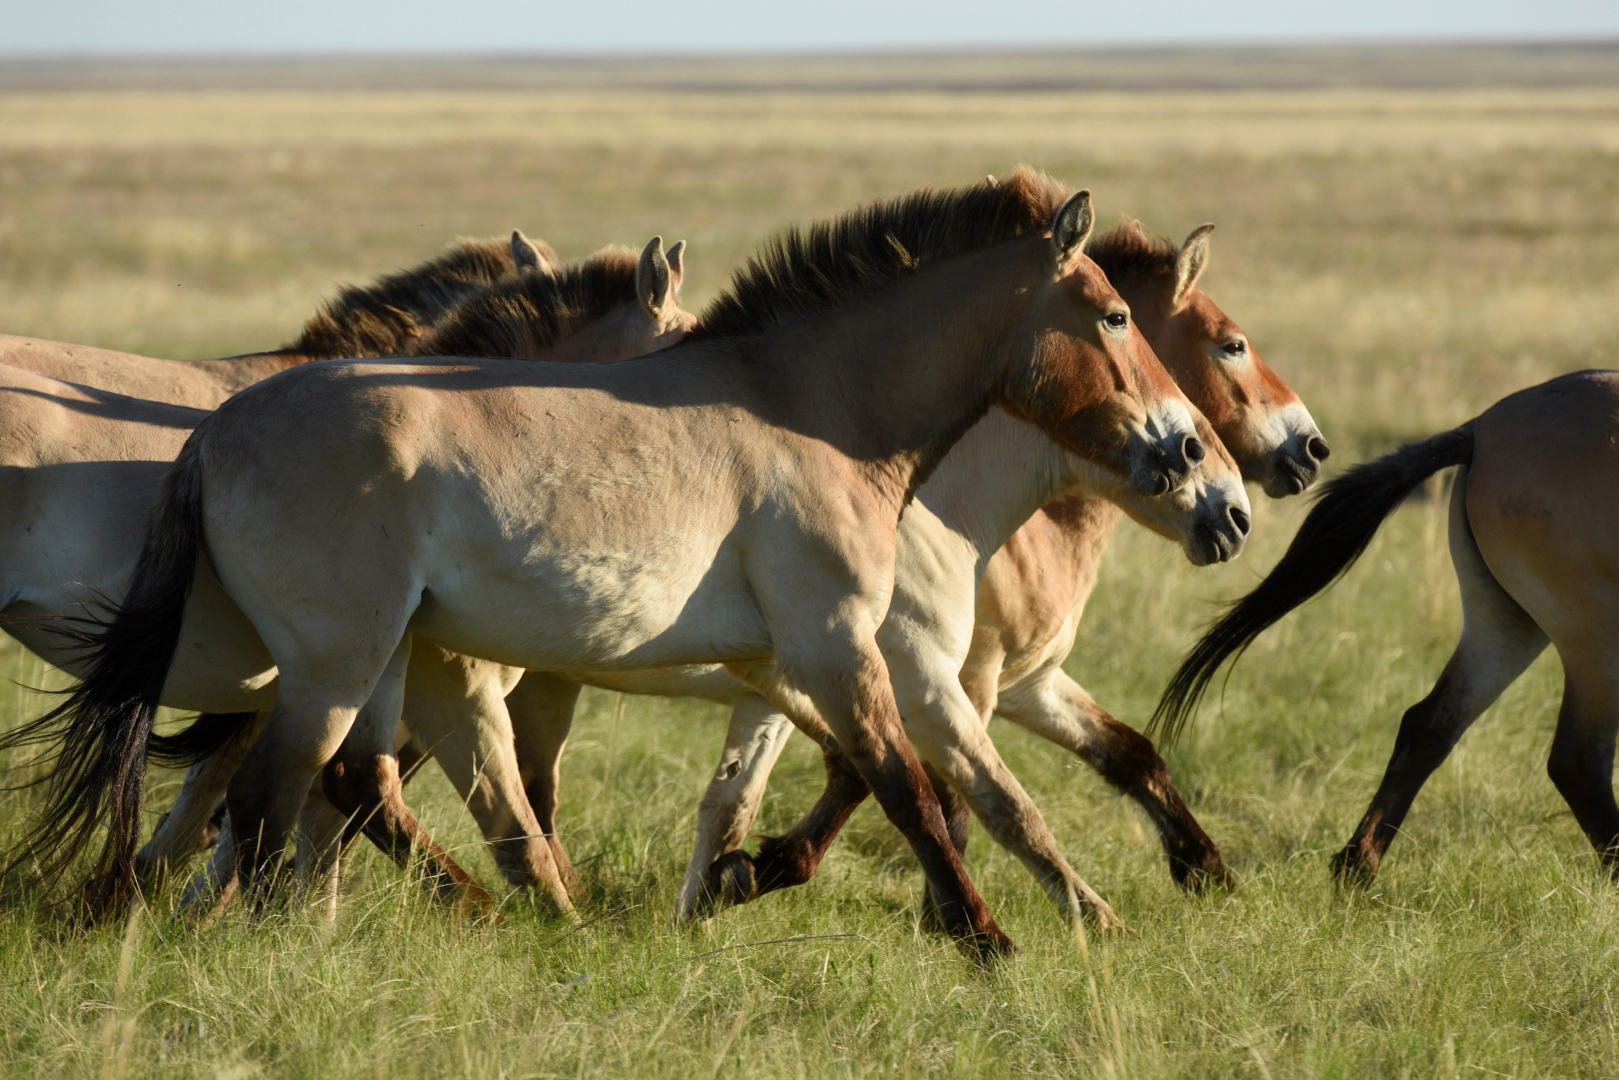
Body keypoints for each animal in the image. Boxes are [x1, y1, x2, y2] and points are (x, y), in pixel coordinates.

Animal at [1152, 372, 1619, 887]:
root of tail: (1481, 427)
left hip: (1507, 625)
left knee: (1429, 725)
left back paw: (1356, 868)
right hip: (1592, 640)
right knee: (1578, 762)